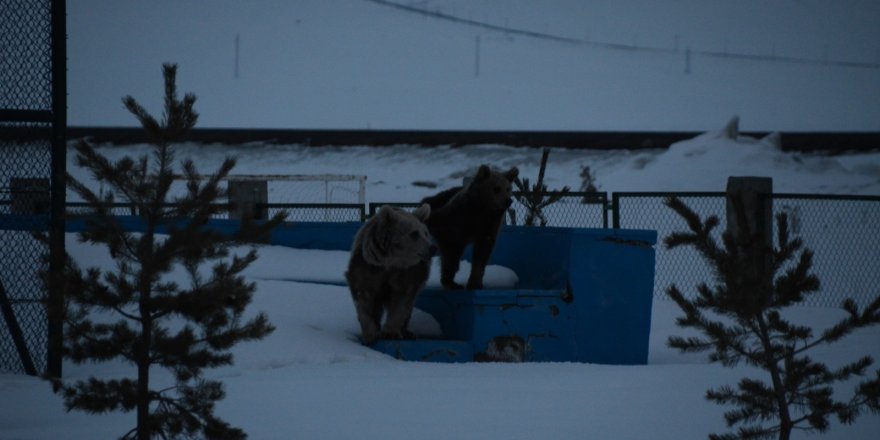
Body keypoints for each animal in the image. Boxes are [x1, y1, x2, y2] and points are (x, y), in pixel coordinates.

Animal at [348, 203, 436, 344]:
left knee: (410, 306)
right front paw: (370, 333)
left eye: (426, 233)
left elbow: (401, 302)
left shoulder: (408, 274)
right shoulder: (368, 269)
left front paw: (391, 332)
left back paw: (408, 332)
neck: (391, 262)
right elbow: (364, 299)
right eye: (414, 234)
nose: (432, 248)